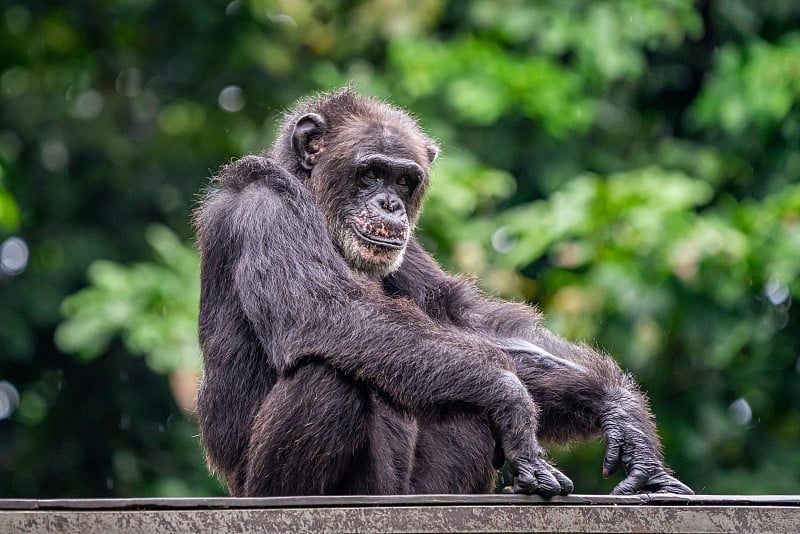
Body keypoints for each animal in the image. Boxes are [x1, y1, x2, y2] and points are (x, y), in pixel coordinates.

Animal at [191, 87, 692, 498]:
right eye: (371, 172)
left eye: (404, 181)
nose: (390, 204)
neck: (312, 197)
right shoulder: (267, 210)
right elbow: (326, 313)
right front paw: (511, 398)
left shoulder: (409, 249)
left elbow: (464, 320)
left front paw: (621, 411)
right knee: (328, 378)